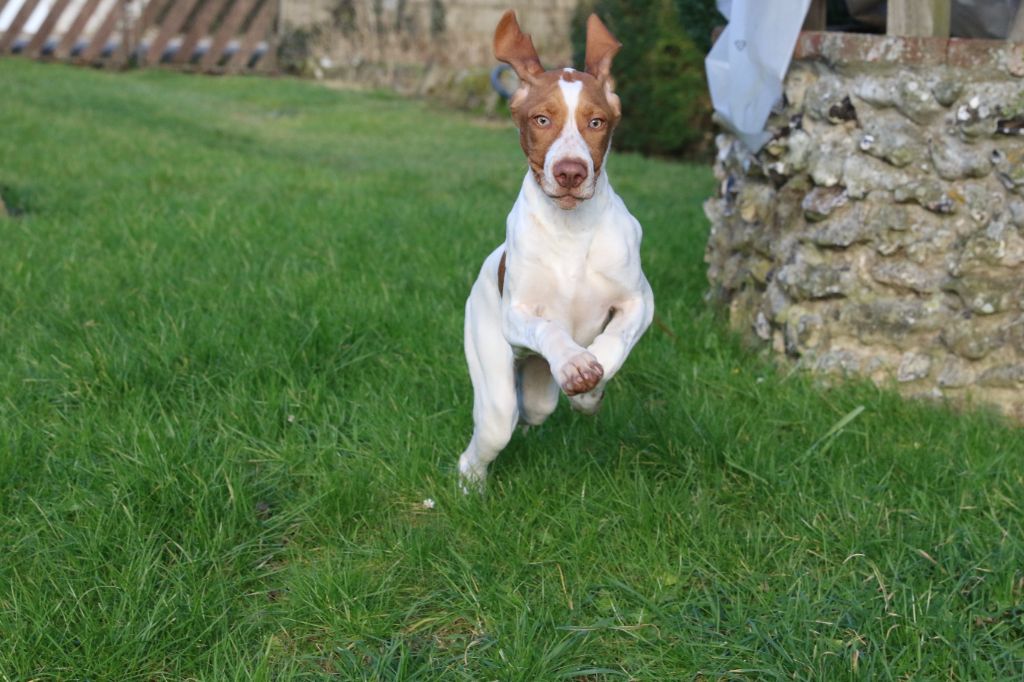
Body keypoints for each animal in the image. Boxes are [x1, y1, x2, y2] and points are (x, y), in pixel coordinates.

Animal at [458, 10, 653, 489]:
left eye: (596, 122)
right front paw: (574, 364)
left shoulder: (640, 301)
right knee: (494, 429)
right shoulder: (516, 315)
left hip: (536, 384)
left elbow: (615, 340)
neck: (572, 231)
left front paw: (591, 388)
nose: (570, 172)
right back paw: (470, 487)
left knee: (536, 408)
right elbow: (549, 328)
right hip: (492, 371)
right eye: (542, 120)